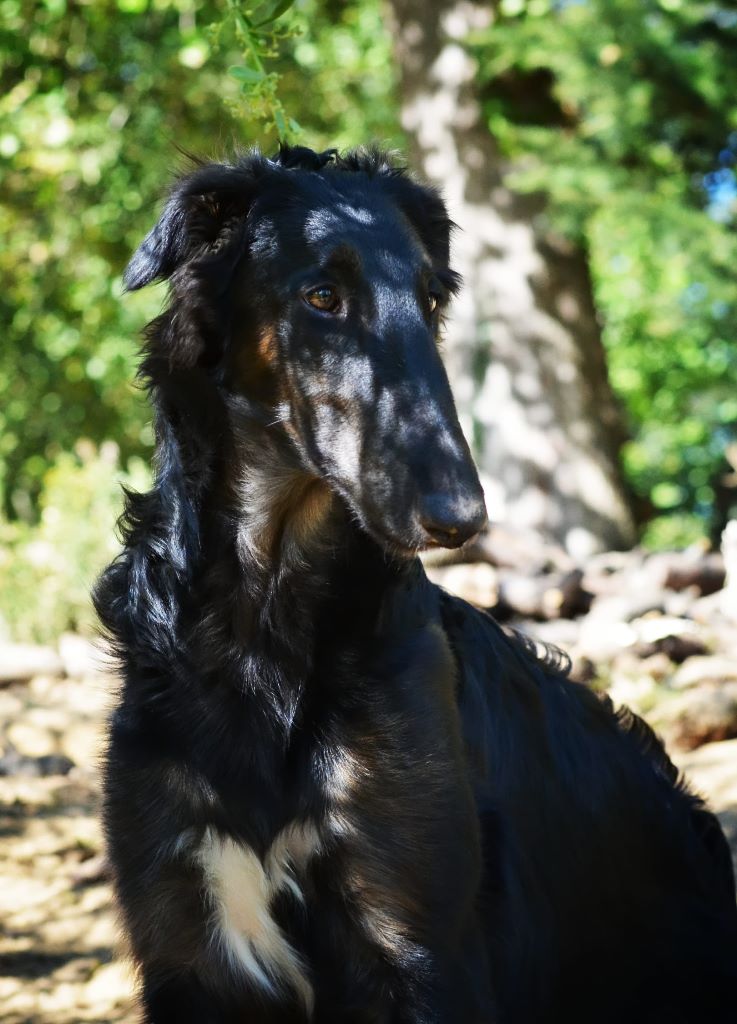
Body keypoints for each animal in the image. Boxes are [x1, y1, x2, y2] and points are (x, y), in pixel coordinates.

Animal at [95, 145, 737, 1024]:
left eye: (431, 298)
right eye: (322, 297)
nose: (461, 517)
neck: (265, 622)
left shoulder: (416, 942)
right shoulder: (191, 947)